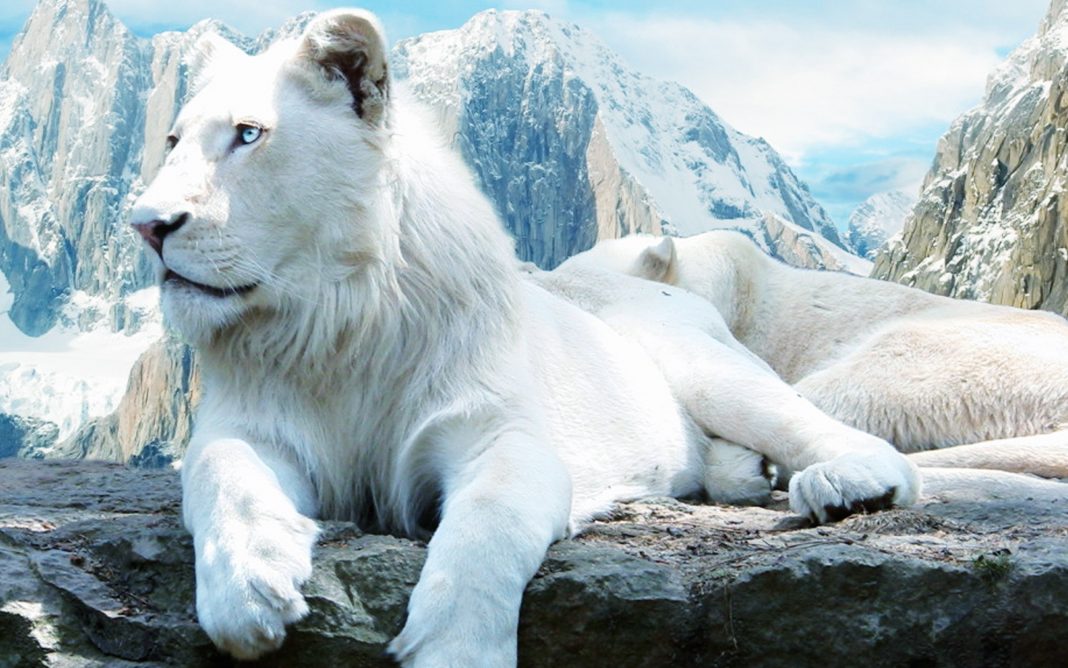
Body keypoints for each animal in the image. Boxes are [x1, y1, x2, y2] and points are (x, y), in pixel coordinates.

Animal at [129, 10, 920, 665]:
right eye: (171, 140)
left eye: (249, 135)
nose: (146, 225)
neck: (335, 319)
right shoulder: (253, 426)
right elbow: (222, 474)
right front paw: (249, 592)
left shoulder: (499, 433)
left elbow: (486, 530)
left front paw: (454, 653)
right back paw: (743, 473)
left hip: (705, 366)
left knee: (836, 435)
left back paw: (844, 486)